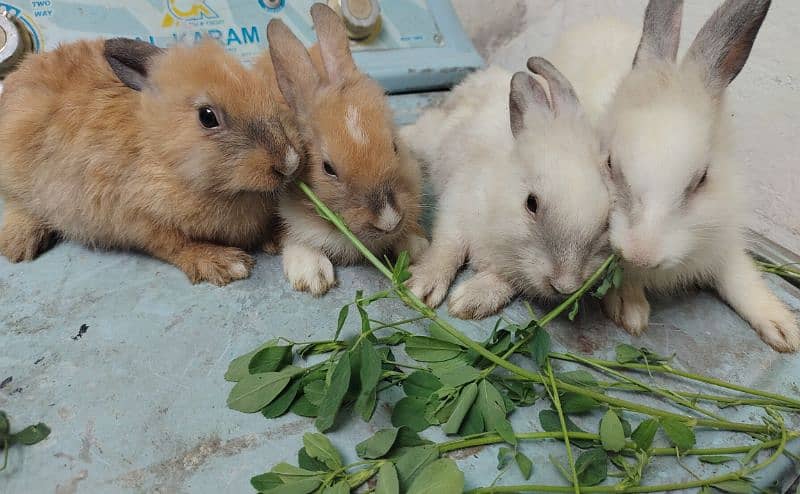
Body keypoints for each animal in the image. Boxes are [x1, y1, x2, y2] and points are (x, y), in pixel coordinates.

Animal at [0, 37, 304, 286]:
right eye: (207, 117)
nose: (289, 162)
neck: (166, 155)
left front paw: (276, 238)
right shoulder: (136, 219)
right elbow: (173, 244)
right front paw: (225, 264)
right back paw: (18, 246)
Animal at [404, 58, 608, 320]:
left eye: (606, 225)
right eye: (531, 203)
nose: (564, 286)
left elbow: (506, 280)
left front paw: (470, 301)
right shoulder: (457, 207)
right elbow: (447, 248)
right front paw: (421, 289)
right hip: (431, 137)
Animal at [556, 0, 800, 352]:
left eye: (702, 179)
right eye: (611, 164)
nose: (642, 254)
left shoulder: (724, 240)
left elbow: (739, 278)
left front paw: (783, 330)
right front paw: (630, 309)